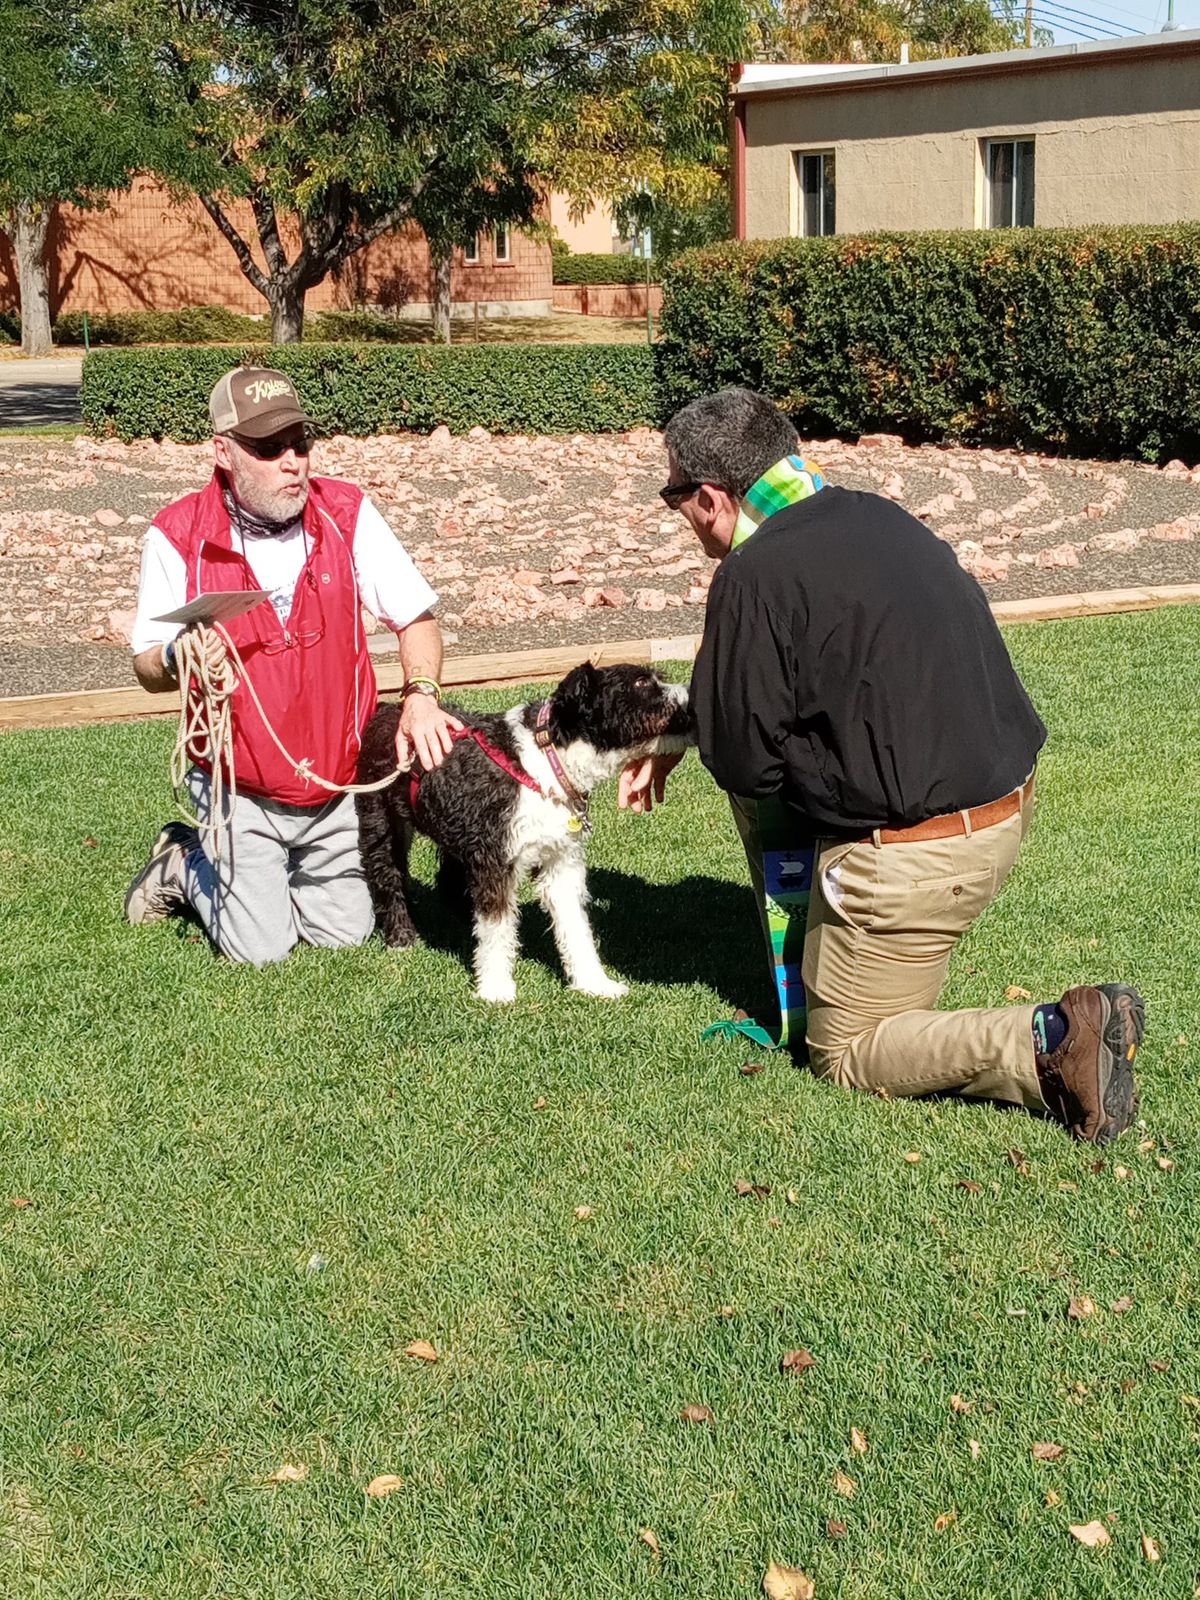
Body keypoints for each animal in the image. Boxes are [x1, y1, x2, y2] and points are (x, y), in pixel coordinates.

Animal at [356, 662, 691, 998]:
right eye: (640, 683)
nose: (689, 697)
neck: (546, 762)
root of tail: (387, 710)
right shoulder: (495, 860)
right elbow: (497, 925)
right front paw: (495, 988)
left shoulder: (561, 861)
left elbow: (576, 926)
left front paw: (594, 981)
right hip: (379, 822)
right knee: (386, 875)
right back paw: (400, 935)